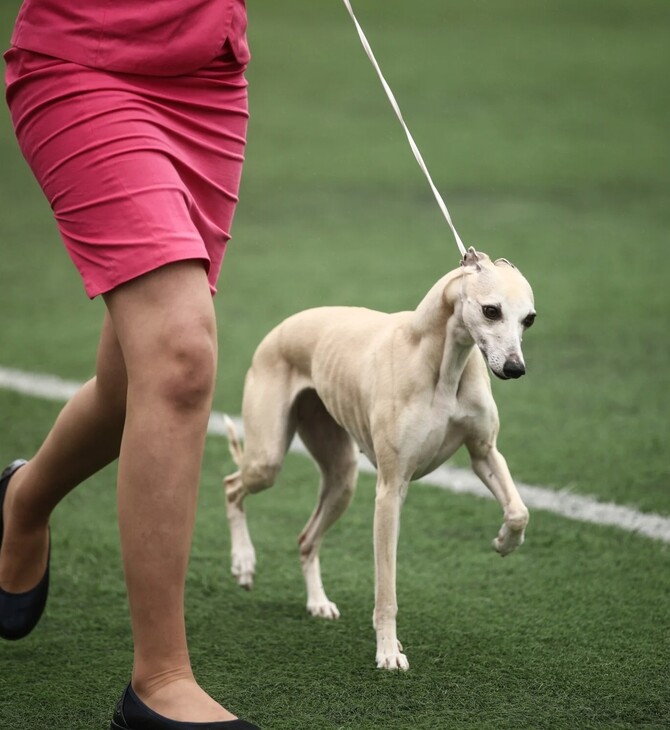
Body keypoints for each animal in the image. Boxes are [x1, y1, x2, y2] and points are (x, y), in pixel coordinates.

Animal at [224, 247, 536, 668]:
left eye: (529, 319)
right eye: (491, 310)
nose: (515, 368)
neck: (440, 361)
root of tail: (283, 326)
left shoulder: (484, 452)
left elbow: (519, 510)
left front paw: (504, 543)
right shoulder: (391, 488)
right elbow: (386, 588)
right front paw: (389, 651)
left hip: (342, 478)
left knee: (306, 538)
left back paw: (318, 602)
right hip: (267, 458)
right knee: (232, 485)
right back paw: (244, 563)